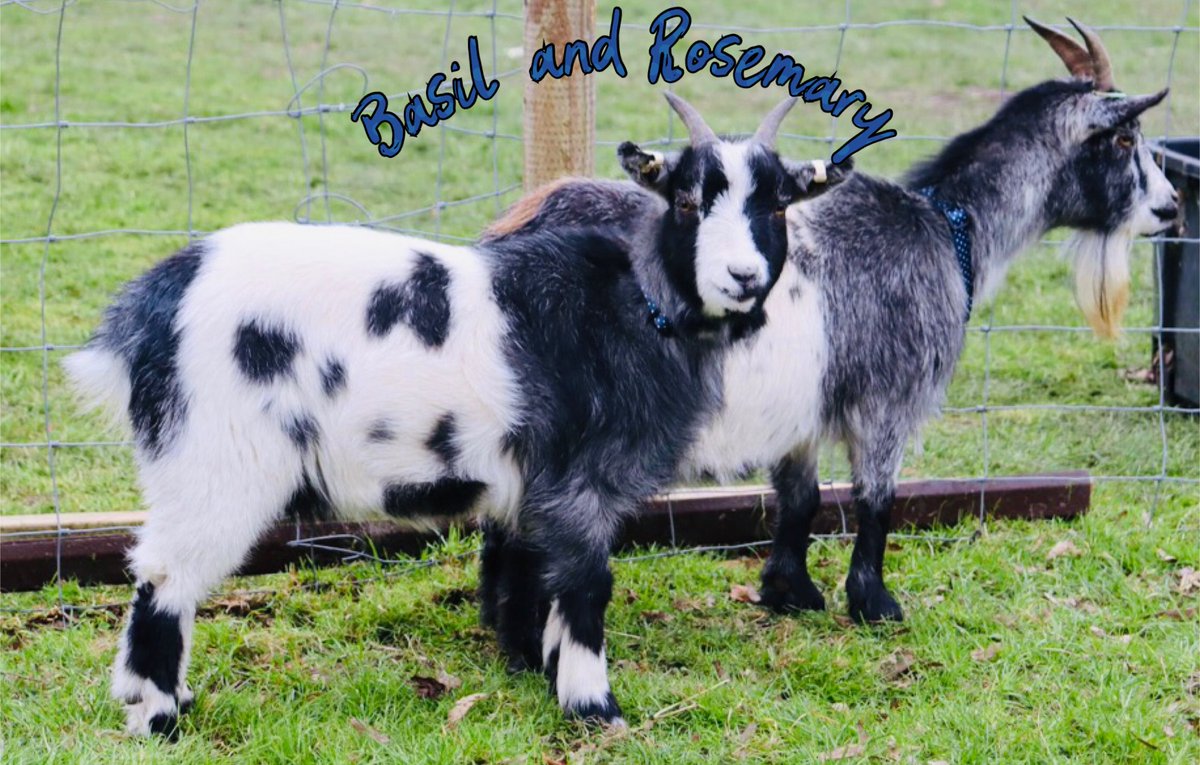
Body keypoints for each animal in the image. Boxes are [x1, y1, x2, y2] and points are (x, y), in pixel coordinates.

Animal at [65, 95, 844, 738]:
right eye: (686, 201)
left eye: (779, 207)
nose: (741, 277)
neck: (639, 302)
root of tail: (151, 309)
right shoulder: (582, 484)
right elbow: (587, 583)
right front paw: (595, 708)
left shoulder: (534, 491)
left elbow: (535, 576)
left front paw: (543, 671)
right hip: (215, 459)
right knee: (164, 575)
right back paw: (159, 715)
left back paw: (165, 699)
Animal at [477, 20, 1180, 637]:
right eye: (1124, 139)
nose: (1171, 206)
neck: (948, 226)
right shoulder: (887, 399)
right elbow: (874, 499)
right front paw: (875, 603)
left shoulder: (803, 408)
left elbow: (802, 496)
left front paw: (789, 591)